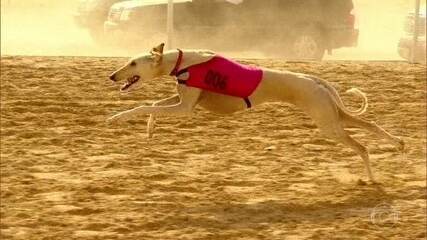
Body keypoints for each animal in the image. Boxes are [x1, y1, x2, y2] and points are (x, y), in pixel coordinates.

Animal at [108, 43, 406, 182]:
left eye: (133, 63)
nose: (112, 76)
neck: (182, 61)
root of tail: (315, 80)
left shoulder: (185, 108)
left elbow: (144, 105)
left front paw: (116, 118)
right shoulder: (184, 100)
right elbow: (153, 105)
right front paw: (149, 129)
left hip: (328, 123)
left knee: (361, 146)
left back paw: (372, 177)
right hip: (333, 115)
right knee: (371, 125)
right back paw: (399, 144)